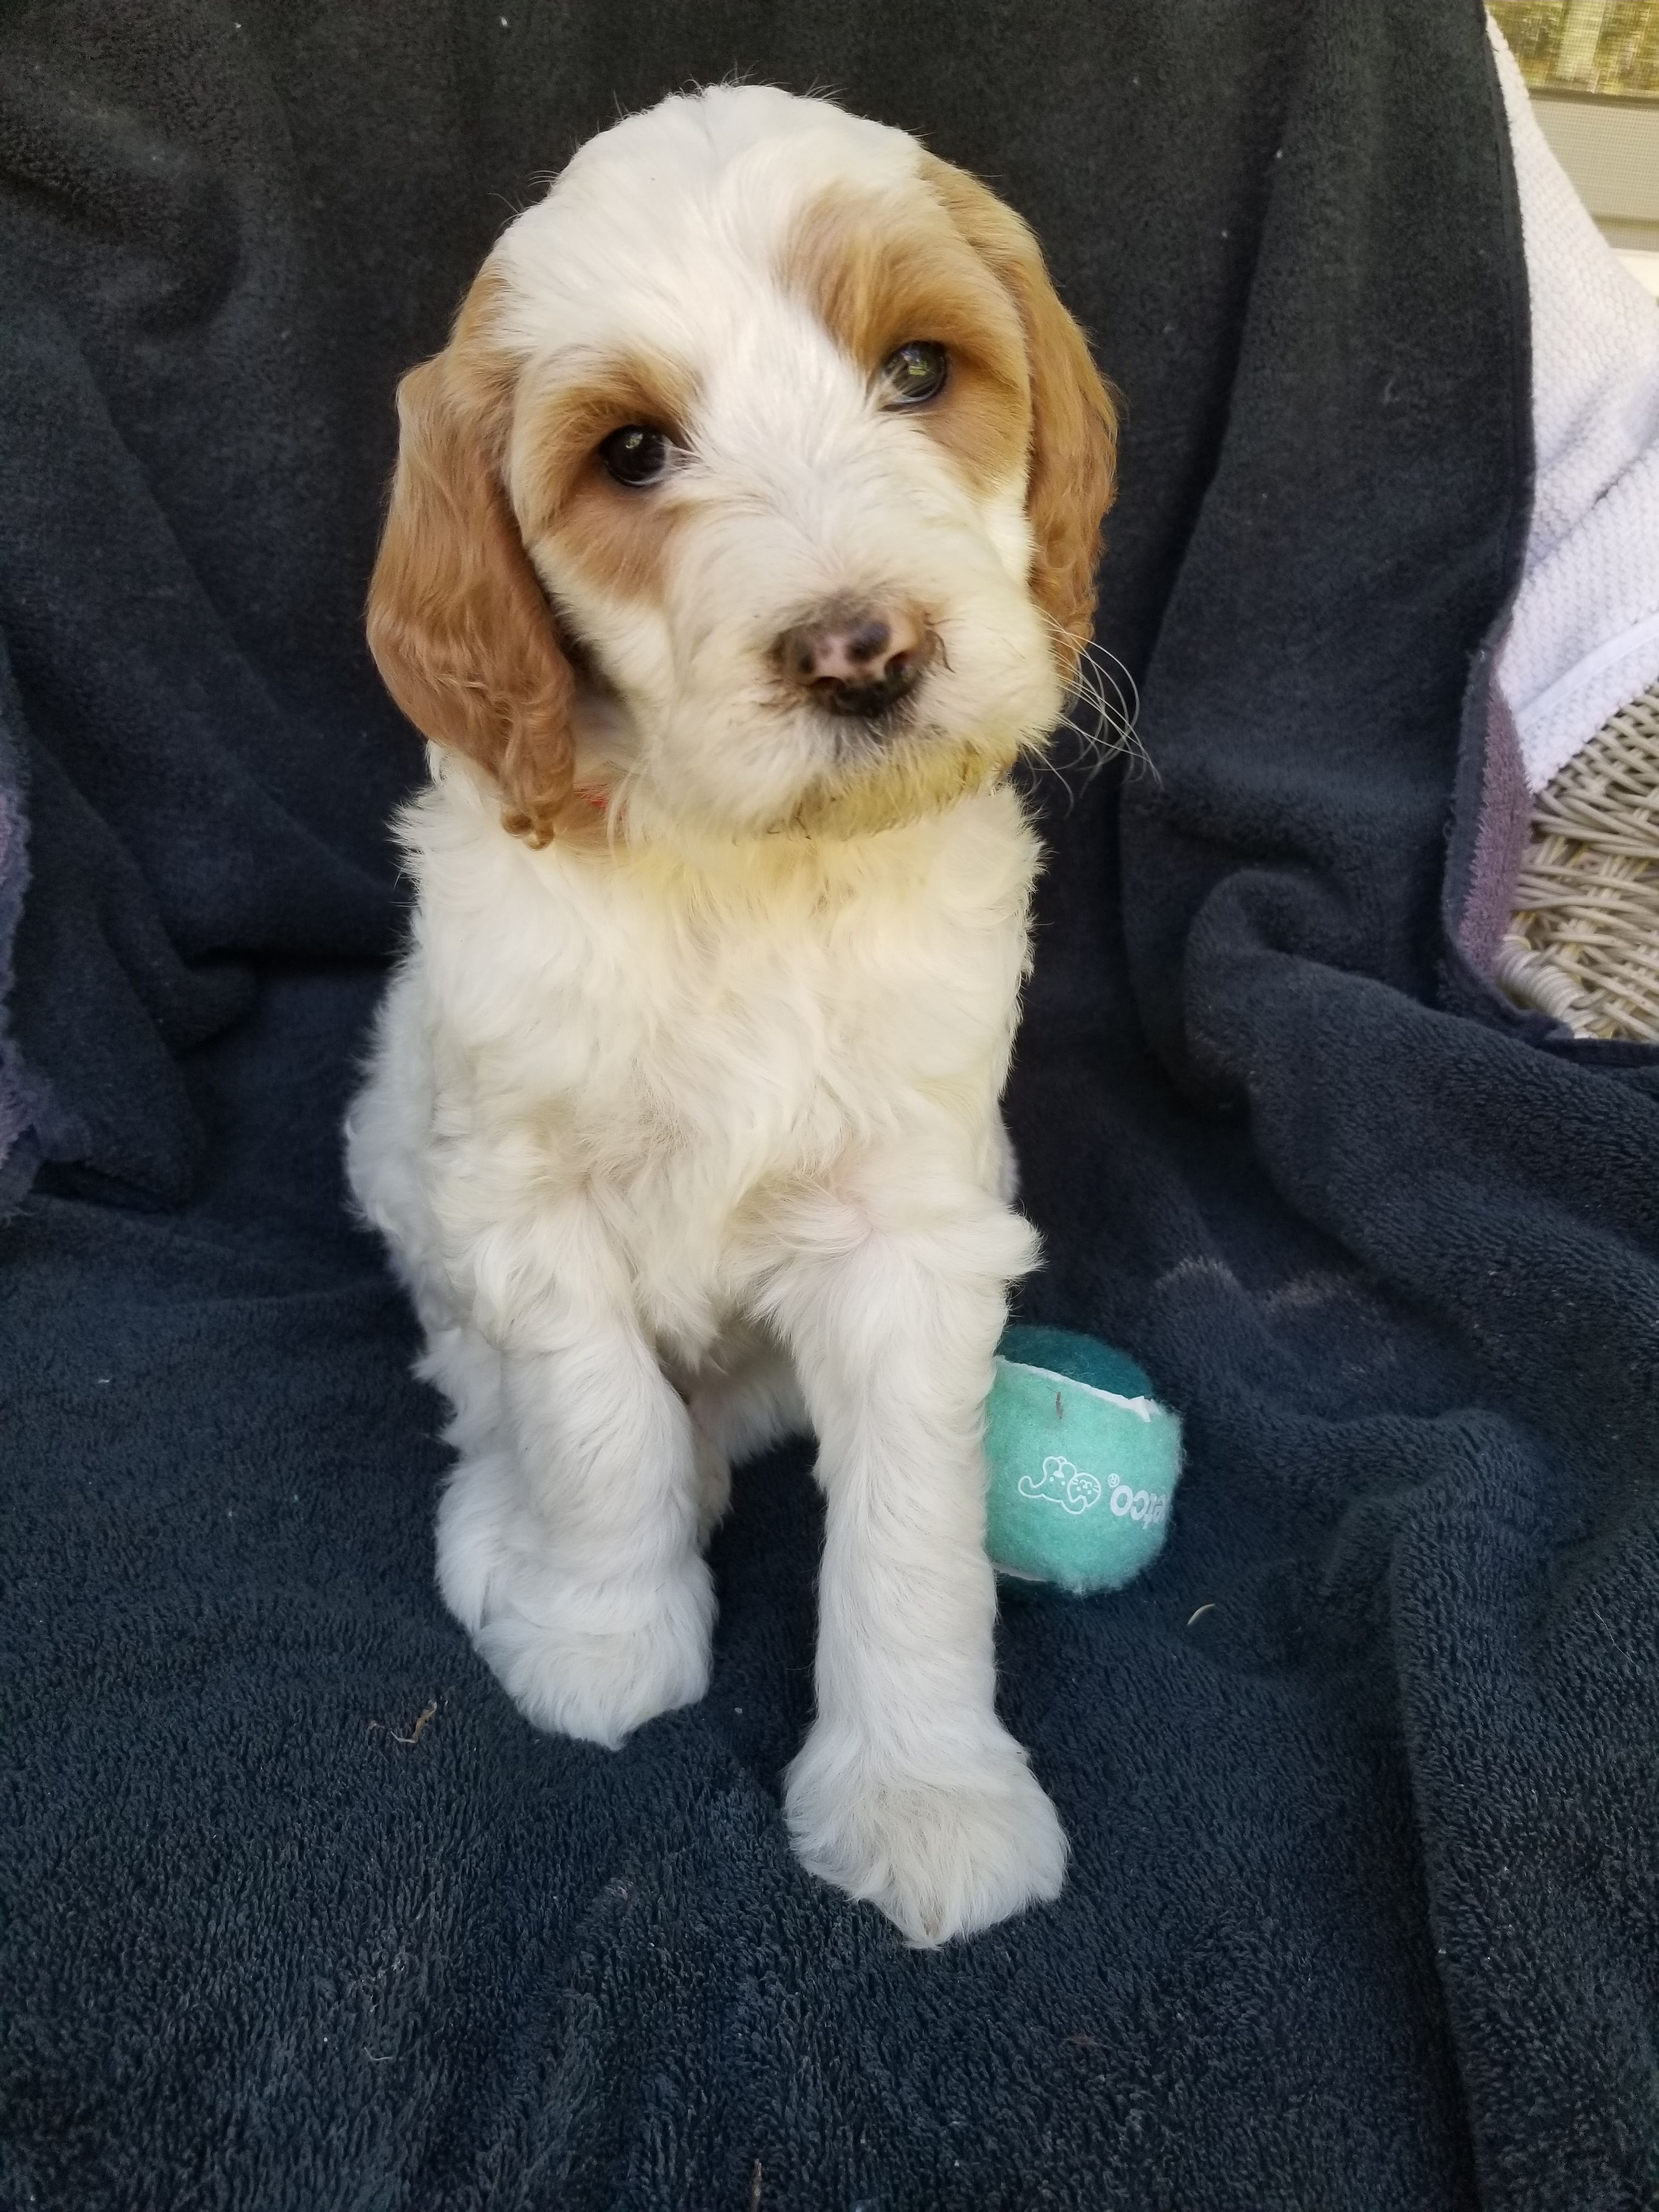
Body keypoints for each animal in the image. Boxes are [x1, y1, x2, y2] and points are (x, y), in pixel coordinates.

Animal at [345, 84, 1117, 1945]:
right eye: (632, 455)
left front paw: (923, 1794)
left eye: (918, 369)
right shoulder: (520, 1200)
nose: (861, 653)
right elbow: (593, 1423)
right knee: (480, 1381)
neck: (744, 873)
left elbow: (908, 1533)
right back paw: (506, 1523)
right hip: (400, 1161)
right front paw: (600, 1636)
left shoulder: (911, 1232)